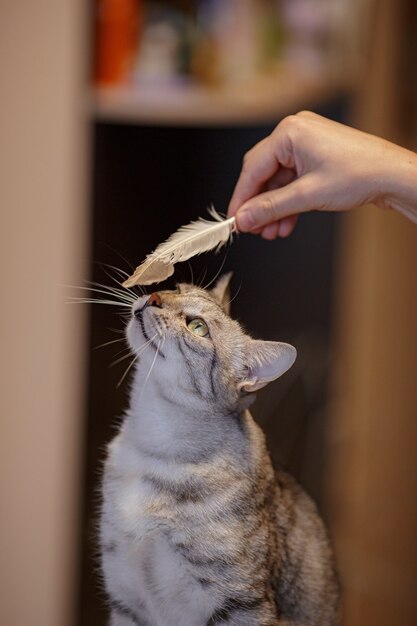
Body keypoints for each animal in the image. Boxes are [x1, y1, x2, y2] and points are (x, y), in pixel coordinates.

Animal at [99, 272, 340, 624]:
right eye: (176, 288)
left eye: (198, 327)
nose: (155, 296)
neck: (152, 449)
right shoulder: (126, 600)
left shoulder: (242, 606)